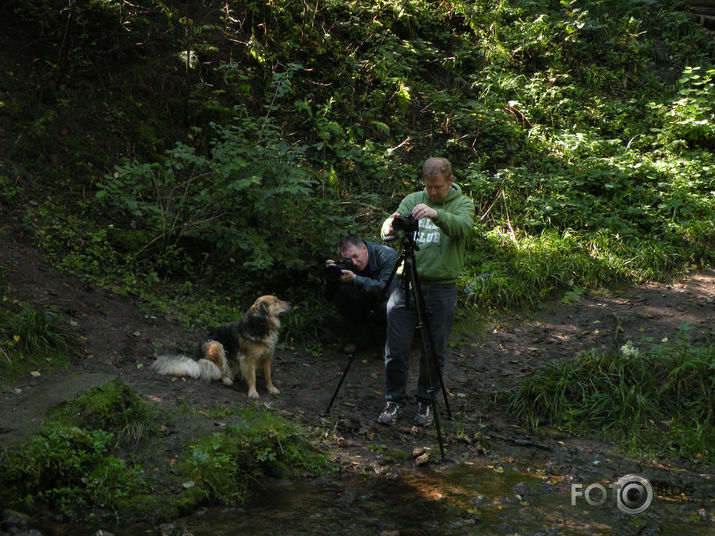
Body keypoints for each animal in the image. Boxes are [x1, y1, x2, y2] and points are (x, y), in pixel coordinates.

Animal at [150, 298, 292, 398]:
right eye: (275, 301)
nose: (291, 303)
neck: (262, 325)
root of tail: (199, 360)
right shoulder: (249, 359)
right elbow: (252, 377)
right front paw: (253, 392)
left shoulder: (267, 357)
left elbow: (268, 375)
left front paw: (271, 388)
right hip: (217, 345)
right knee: (219, 370)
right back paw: (226, 379)